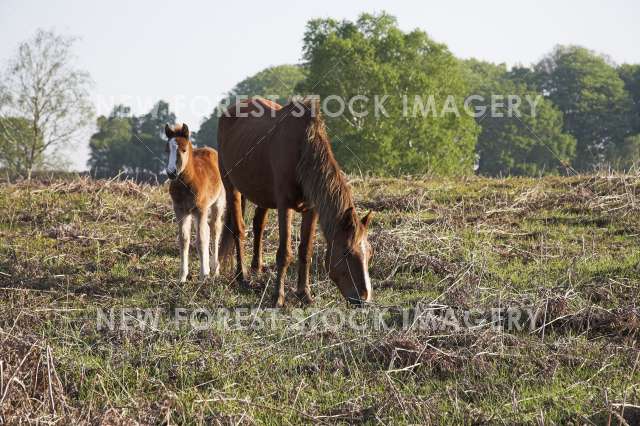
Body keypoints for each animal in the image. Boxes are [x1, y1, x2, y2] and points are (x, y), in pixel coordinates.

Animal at [164, 123, 226, 282]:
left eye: (184, 150)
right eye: (167, 150)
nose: (171, 172)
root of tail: (211, 150)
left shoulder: (200, 209)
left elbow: (201, 240)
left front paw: (203, 276)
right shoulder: (180, 211)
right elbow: (184, 240)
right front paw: (182, 276)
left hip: (217, 203)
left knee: (215, 229)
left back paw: (215, 269)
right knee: (207, 230)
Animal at [217, 97, 373, 306]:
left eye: (369, 252)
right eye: (346, 252)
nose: (363, 298)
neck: (303, 149)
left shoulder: (312, 209)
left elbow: (305, 251)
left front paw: (304, 294)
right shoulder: (285, 206)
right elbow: (284, 253)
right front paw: (278, 297)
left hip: (262, 194)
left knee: (258, 225)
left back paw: (256, 268)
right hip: (231, 186)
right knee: (238, 229)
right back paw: (242, 277)